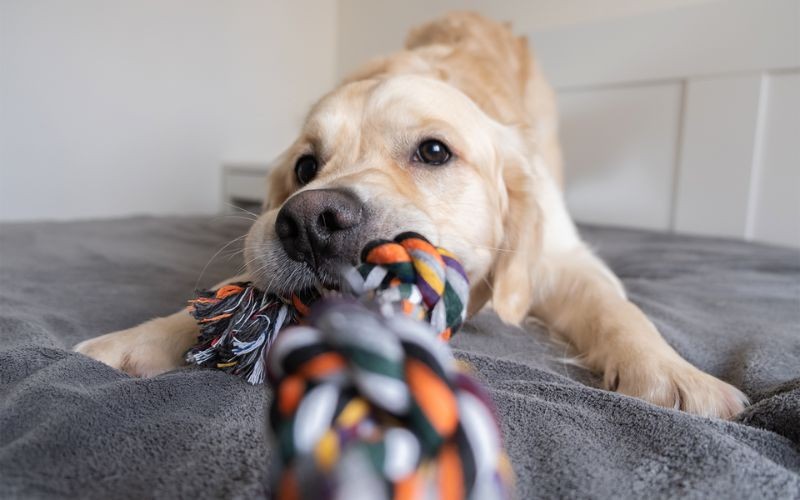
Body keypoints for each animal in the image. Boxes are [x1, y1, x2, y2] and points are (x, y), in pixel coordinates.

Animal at [72, 11, 748, 418]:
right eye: (304, 167)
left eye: (434, 151)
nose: (308, 222)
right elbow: (224, 294)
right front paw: (134, 341)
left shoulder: (561, 258)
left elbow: (617, 309)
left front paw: (671, 373)